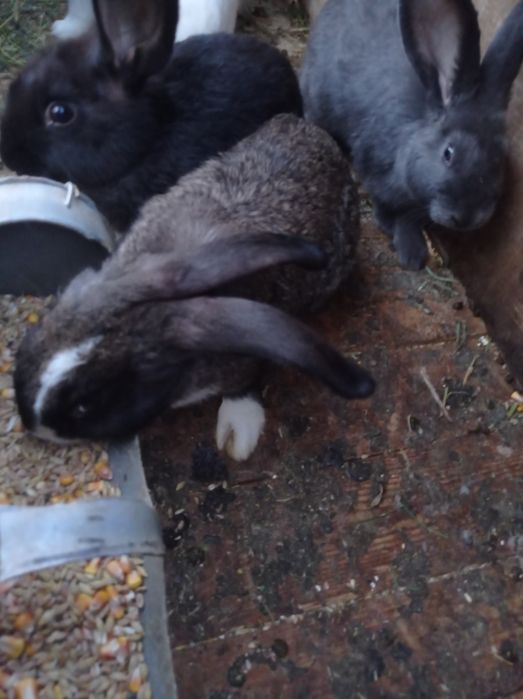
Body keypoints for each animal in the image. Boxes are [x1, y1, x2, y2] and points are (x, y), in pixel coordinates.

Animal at [14, 114, 375, 461]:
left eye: (85, 405)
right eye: (41, 327)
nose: (31, 423)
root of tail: (313, 131)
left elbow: (243, 383)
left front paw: (238, 433)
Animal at [301, 0, 523, 270]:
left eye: (498, 160)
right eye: (448, 153)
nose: (466, 218)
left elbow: (408, 218)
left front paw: (412, 249)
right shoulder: (375, 169)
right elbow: (388, 207)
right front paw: (409, 251)